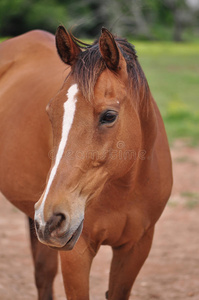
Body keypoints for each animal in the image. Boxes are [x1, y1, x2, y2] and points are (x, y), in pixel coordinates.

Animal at [0, 26, 173, 300]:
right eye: (50, 113)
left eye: (109, 116)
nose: (52, 218)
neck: (125, 188)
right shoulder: (77, 254)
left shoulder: (136, 248)